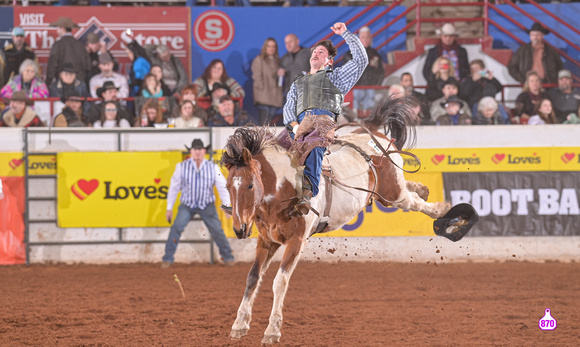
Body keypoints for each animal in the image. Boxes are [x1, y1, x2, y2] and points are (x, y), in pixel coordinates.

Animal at [221, 98, 462, 346]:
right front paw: (239, 325)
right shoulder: (267, 240)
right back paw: (423, 189)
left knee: (414, 202)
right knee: (411, 190)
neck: (284, 189)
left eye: (250, 185)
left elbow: (280, 281)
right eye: (228, 186)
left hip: (394, 195)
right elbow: (253, 277)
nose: (239, 229)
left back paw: (442, 210)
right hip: (383, 196)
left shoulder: (296, 241)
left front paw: (272, 330)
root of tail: (372, 133)